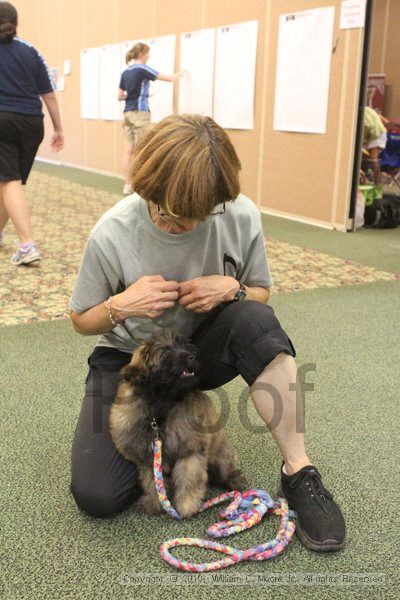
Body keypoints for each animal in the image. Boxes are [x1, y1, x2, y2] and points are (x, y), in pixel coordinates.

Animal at [109, 332, 247, 516]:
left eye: (184, 345)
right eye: (164, 354)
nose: (192, 356)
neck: (160, 410)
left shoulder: (190, 452)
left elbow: (188, 479)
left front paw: (187, 505)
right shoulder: (147, 459)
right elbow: (151, 483)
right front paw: (156, 503)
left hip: (221, 459)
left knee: (225, 472)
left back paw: (235, 480)